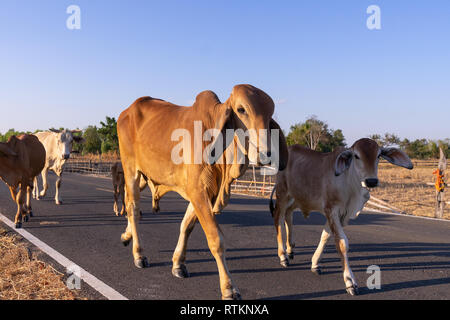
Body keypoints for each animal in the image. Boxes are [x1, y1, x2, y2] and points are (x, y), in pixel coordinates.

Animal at [118, 85, 286, 300]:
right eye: (241, 110)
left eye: (270, 114)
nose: (266, 154)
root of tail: (127, 111)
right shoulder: (198, 192)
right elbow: (216, 240)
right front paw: (229, 288)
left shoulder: (205, 193)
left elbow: (186, 226)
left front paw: (178, 264)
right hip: (131, 169)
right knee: (133, 209)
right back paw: (139, 254)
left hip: (144, 176)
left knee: (130, 203)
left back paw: (126, 236)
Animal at [268, 139, 414, 296]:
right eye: (356, 156)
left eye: (379, 155)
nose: (371, 181)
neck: (350, 186)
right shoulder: (332, 210)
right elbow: (342, 243)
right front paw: (350, 281)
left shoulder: (343, 215)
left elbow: (325, 236)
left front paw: (315, 264)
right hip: (283, 193)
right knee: (277, 217)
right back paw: (283, 256)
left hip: (298, 197)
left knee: (288, 214)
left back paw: (290, 249)